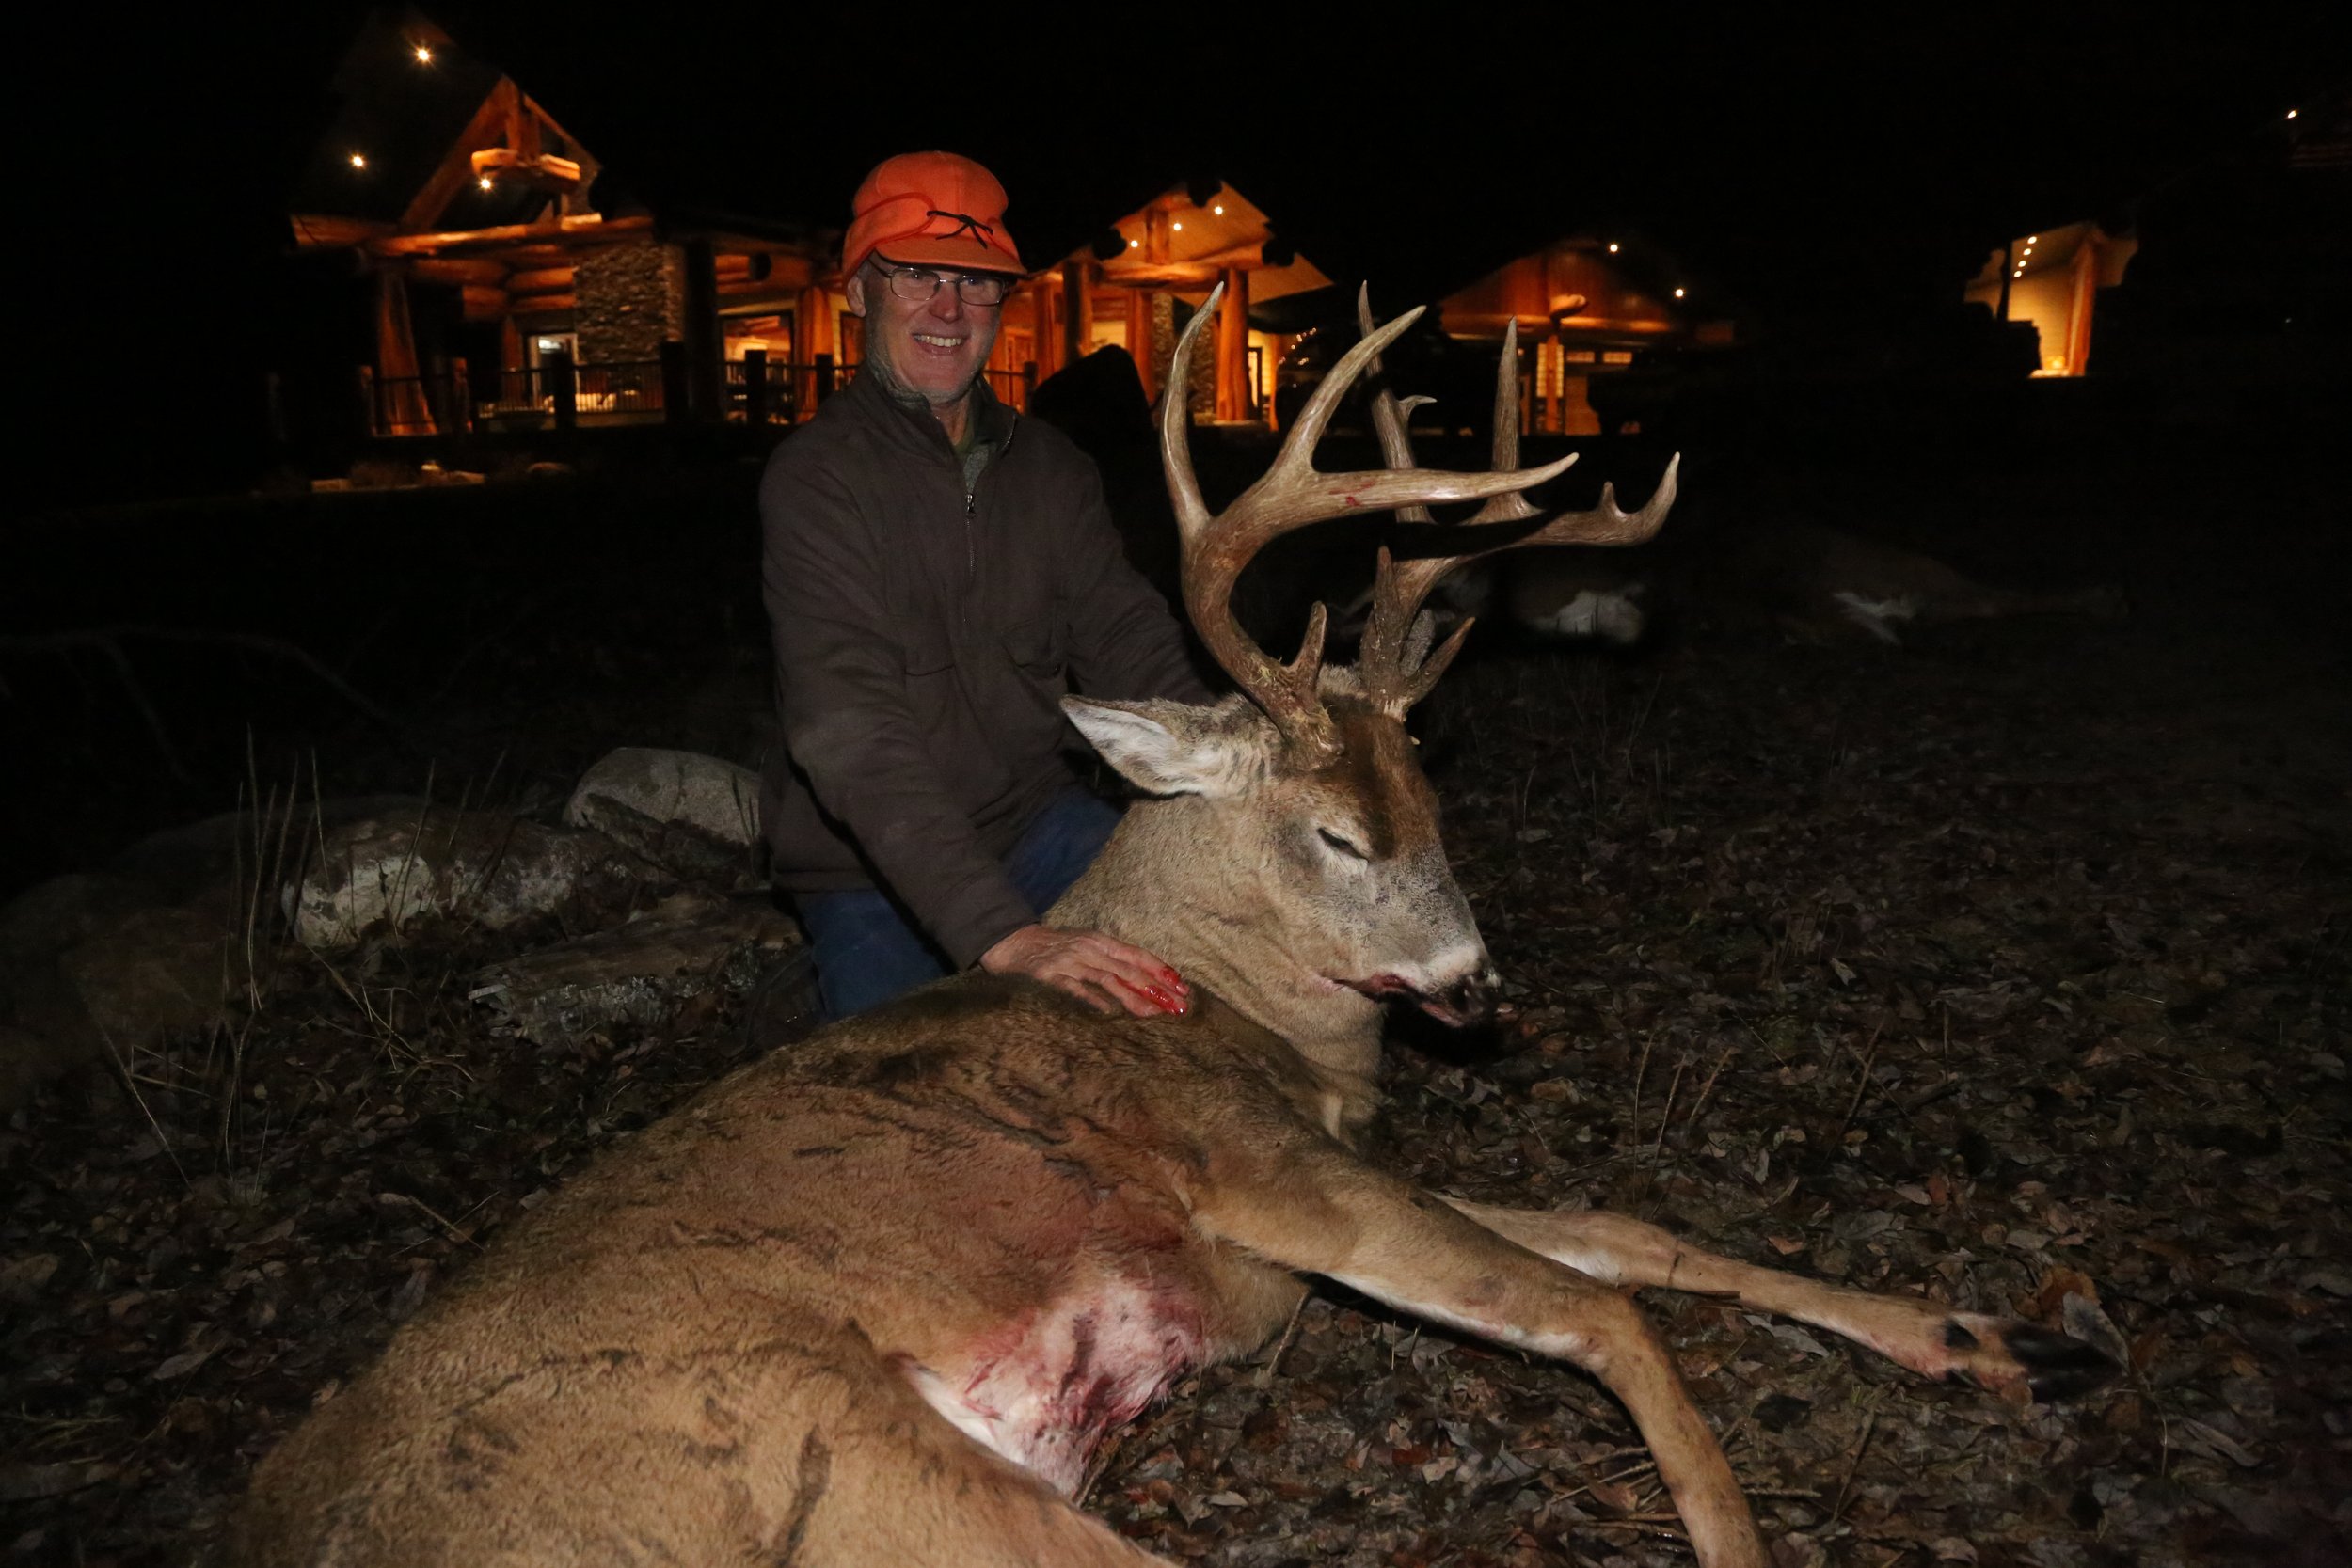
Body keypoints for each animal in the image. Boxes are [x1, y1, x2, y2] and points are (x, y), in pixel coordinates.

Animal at [233, 289, 2116, 1568]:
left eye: (1441, 798)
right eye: (1338, 830)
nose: (1477, 985)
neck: (1245, 1011)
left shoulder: (1332, 1161)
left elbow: (1624, 1229)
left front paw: (1987, 1337)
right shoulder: (1259, 1168)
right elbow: (1602, 1313)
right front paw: (1739, 1529)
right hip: (815, 1452)